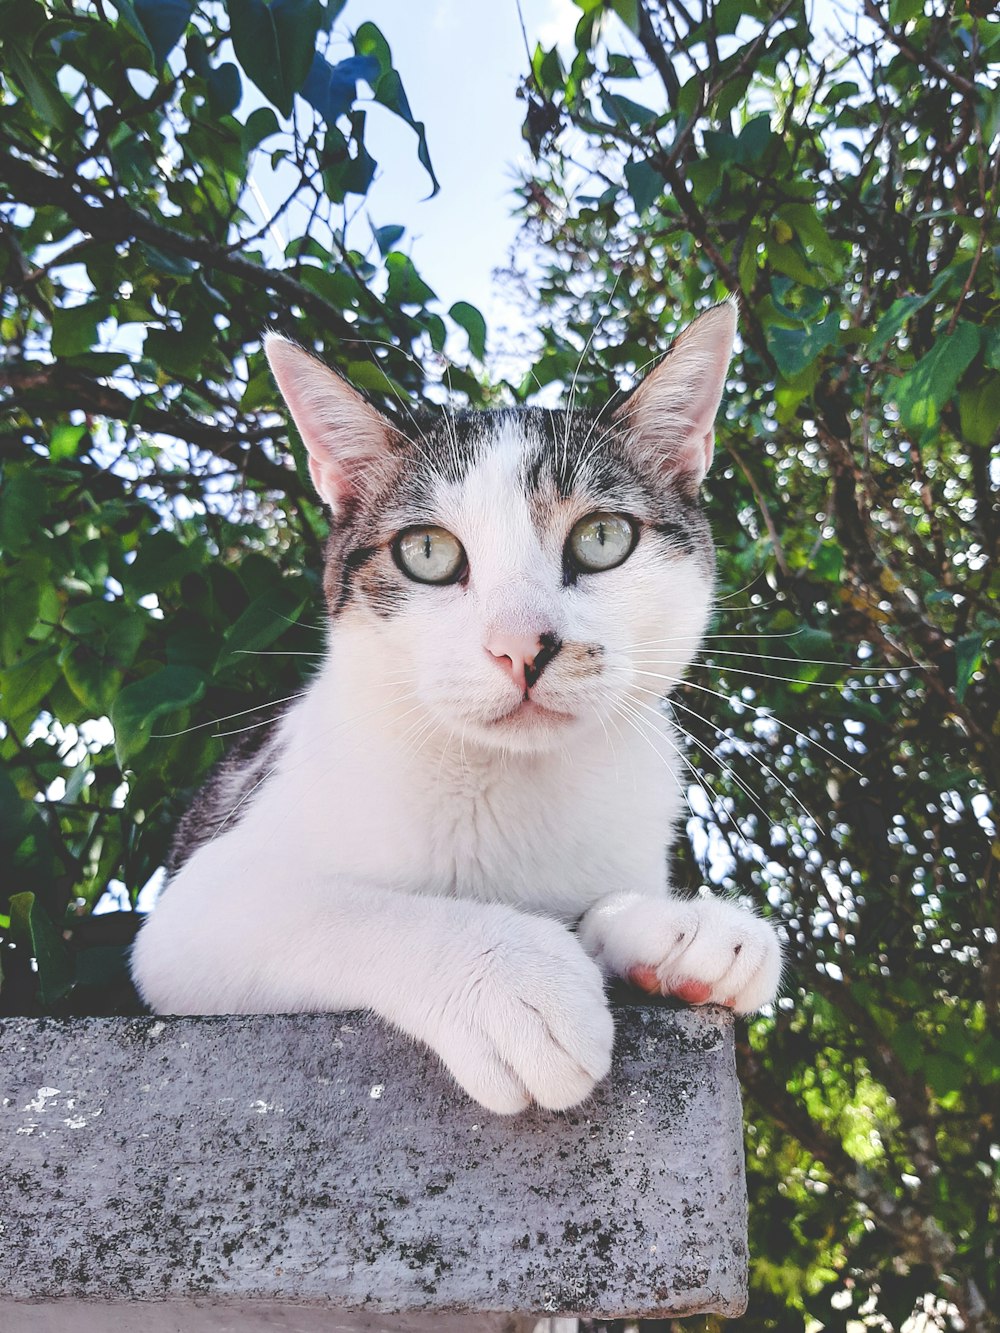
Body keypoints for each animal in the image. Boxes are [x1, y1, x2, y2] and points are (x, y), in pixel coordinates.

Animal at [131, 299, 784, 1114]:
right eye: (428, 553)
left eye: (602, 538)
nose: (521, 646)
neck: (512, 784)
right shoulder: (194, 910)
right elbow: (343, 908)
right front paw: (513, 978)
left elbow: (593, 902)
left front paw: (678, 926)